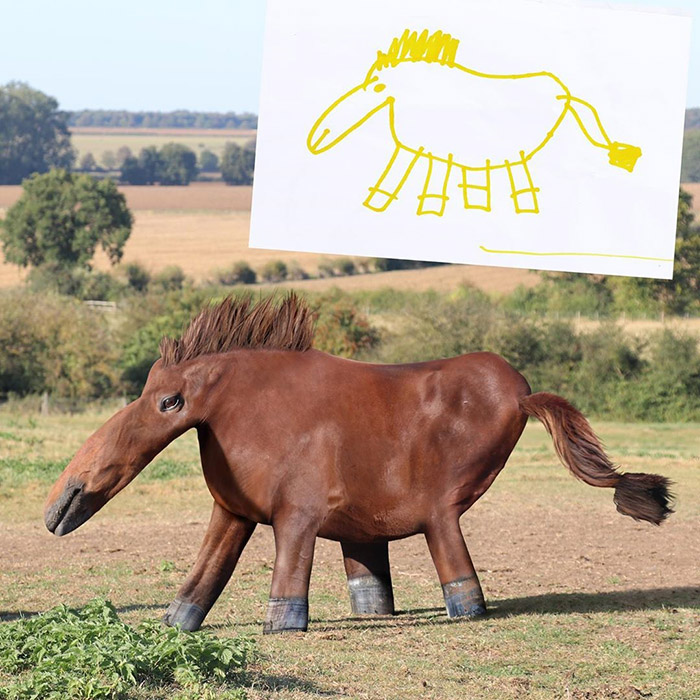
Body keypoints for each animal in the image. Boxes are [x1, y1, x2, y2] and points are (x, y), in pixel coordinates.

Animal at [45, 294, 672, 634]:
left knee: (455, 563)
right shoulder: (234, 511)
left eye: (170, 403)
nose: (60, 507)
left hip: (439, 509)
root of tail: (521, 393)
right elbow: (201, 576)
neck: (245, 408)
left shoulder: (296, 514)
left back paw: (465, 612)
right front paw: (173, 625)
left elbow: (287, 578)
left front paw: (281, 626)